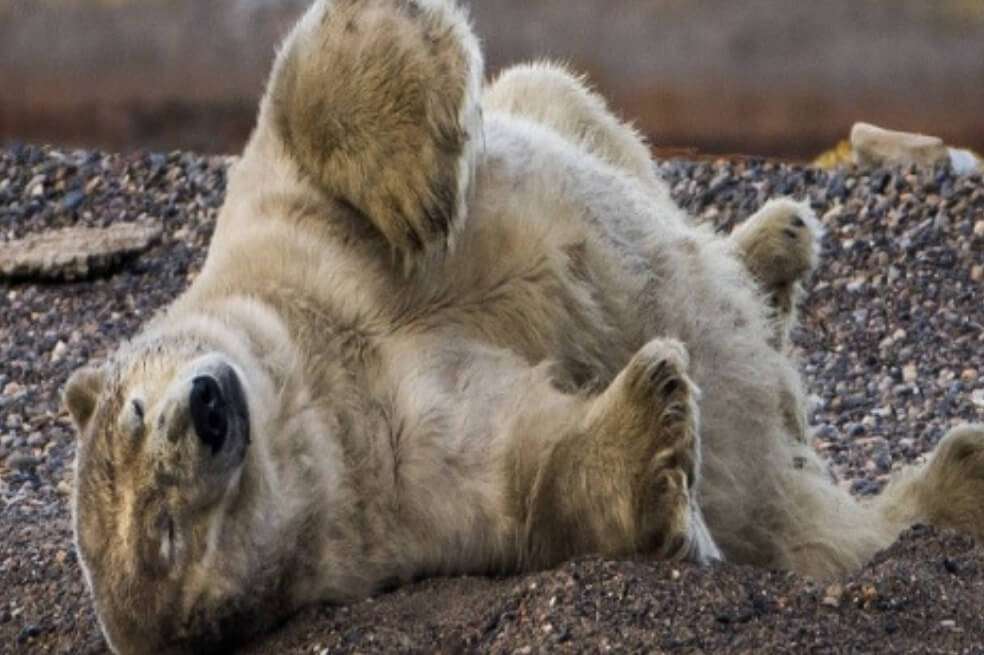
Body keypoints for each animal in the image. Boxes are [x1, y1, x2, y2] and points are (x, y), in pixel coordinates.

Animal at [63, 0, 984, 652]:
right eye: (168, 538)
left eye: (134, 411)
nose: (207, 409)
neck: (318, 378)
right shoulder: (401, 487)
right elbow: (537, 473)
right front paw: (651, 425)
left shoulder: (274, 245)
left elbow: (307, 97)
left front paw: (416, 194)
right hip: (794, 519)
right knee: (833, 529)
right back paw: (958, 473)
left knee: (564, 99)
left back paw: (774, 246)